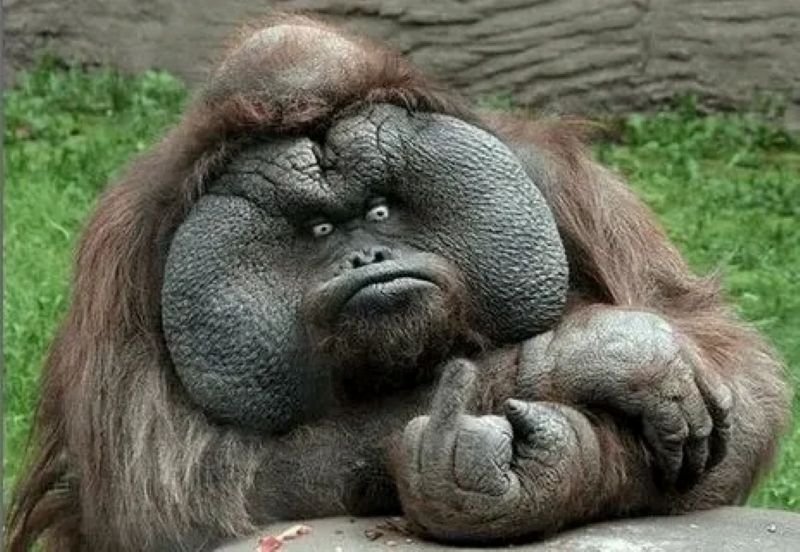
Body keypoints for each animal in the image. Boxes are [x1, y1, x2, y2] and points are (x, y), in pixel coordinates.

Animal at [5, 14, 791, 552]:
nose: (368, 258)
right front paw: (598, 357)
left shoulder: (558, 178)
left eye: (381, 209)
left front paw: (549, 464)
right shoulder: (121, 259)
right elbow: (169, 485)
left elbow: (738, 395)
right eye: (321, 230)